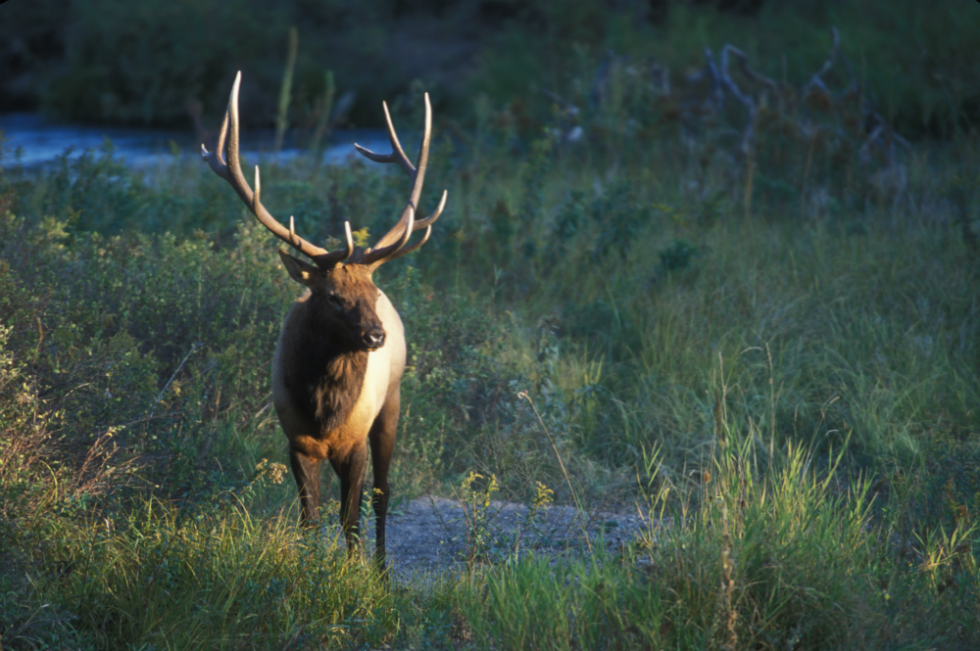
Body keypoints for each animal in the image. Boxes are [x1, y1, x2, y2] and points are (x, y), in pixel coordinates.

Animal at [203, 72, 448, 572]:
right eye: (333, 296)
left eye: (372, 295)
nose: (376, 334)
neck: (324, 408)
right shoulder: (296, 439)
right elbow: (310, 518)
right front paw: (309, 568)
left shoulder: (355, 440)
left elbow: (350, 516)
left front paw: (355, 575)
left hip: (392, 402)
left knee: (382, 492)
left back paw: (381, 568)